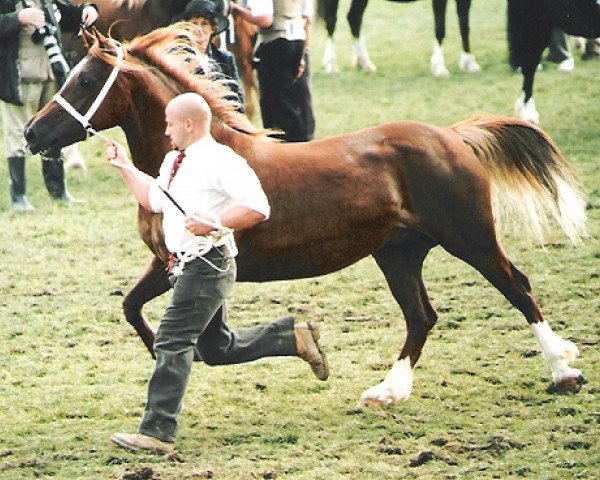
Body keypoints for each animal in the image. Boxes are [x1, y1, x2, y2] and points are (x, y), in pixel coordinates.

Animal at [24, 27, 584, 404]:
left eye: (86, 79)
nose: (32, 134)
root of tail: (452, 135)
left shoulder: (192, 262)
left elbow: (179, 329)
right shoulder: (170, 263)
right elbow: (136, 309)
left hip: (469, 237)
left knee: (518, 287)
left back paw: (564, 371)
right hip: (398, 253)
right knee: (422, 316)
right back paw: (388, 391)